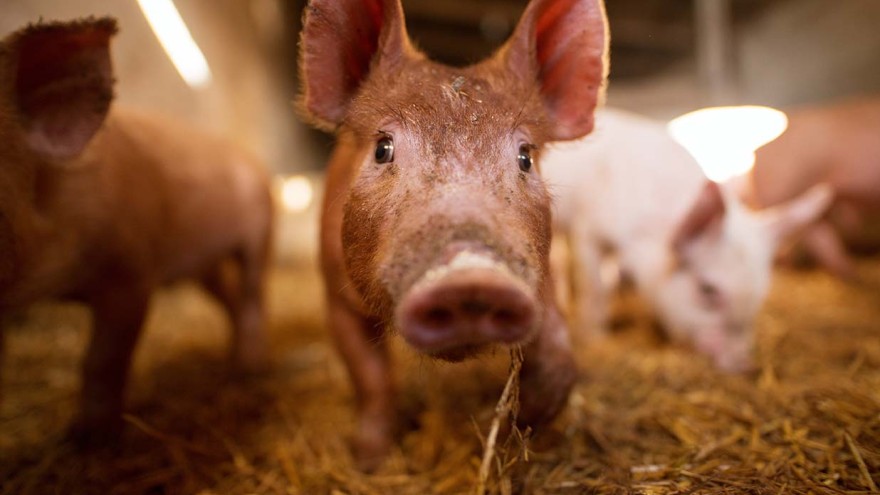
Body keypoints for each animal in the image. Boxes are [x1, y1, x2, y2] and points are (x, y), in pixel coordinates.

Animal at [0, 19, 274, 443]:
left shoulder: (132, 270)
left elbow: (102, 359)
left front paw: (90, 437)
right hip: (206, 265)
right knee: (229, 297)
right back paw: (231, 363)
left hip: (262, 231)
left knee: (253, 293)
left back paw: (250, 369)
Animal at [298, 0, 609, 468]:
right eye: (382, 149)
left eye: (525, 157)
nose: (471, 277)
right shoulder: (335, 295)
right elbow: (370, 378)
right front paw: (370, 459)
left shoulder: (542, 274)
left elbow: (558, 356)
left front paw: (520, 422)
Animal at [543, 108, 833, 372]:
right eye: (707, 290)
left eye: (759, 295)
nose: (745, 365)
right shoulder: (588, 229)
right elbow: (595, 287)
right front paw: (594, 338)